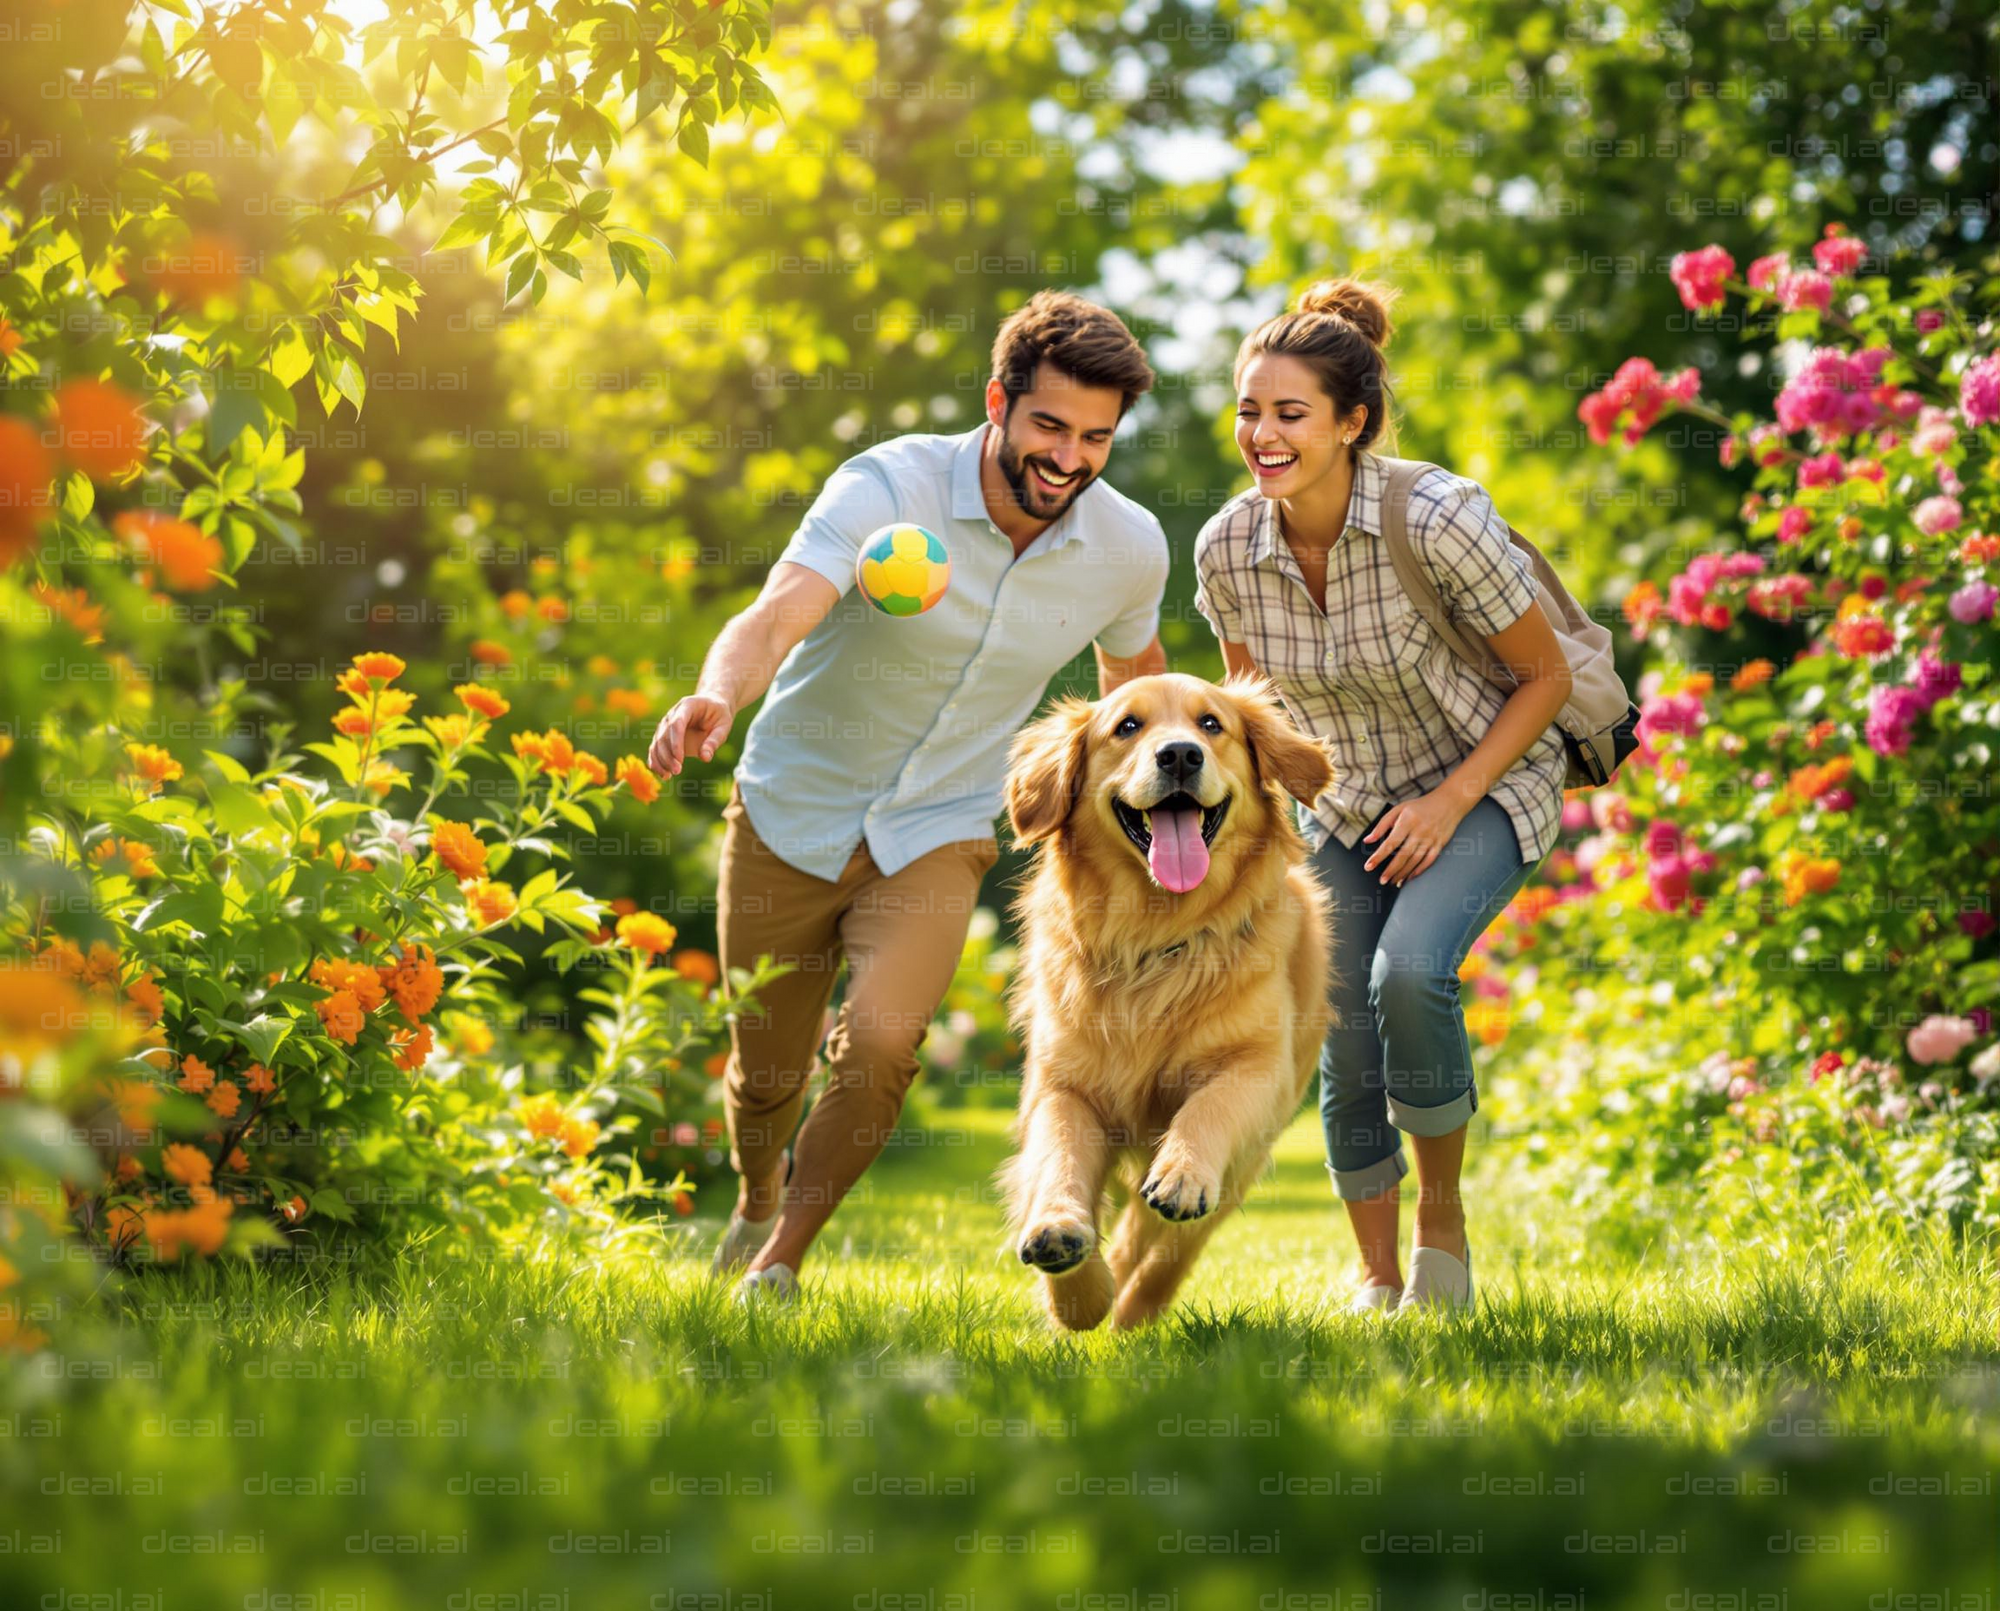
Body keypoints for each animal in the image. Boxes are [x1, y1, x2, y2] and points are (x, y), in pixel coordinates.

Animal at [996, 671, 1328, 1335]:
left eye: (1211, 724)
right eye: (1127, 726)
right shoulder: (1063, 1085)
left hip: (1246, 1160)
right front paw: (1066, 1262)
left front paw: (1181, 1176)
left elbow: (1206, 1111)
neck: (1156, 938)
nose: (1178, 755)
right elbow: (1057, 1156)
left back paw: (1134, 1307)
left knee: (1168, 1246)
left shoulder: (1257, 1069)